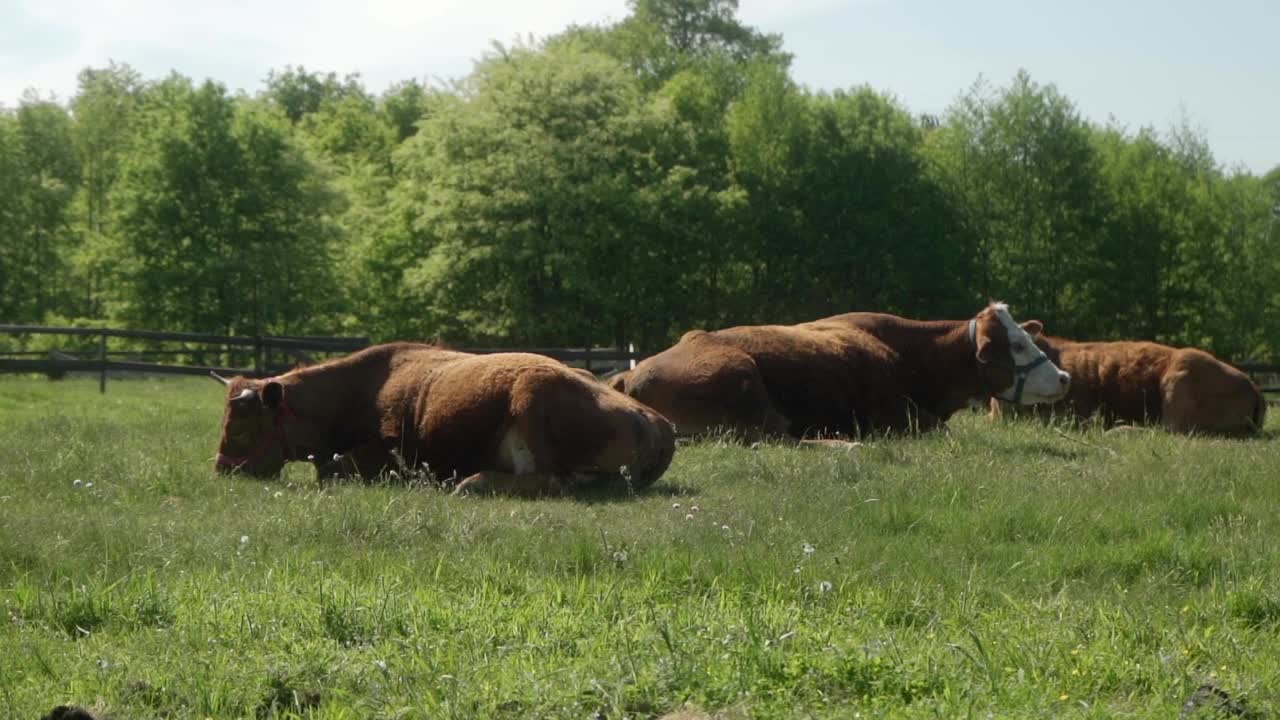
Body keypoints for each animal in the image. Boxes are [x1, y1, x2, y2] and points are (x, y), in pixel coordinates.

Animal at [207, 340, 680, 491]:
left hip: (531, 397)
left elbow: (336, 469)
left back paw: (470, 483)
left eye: (243, 428)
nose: (223, 469)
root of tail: (658, 423)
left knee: (551, 482)